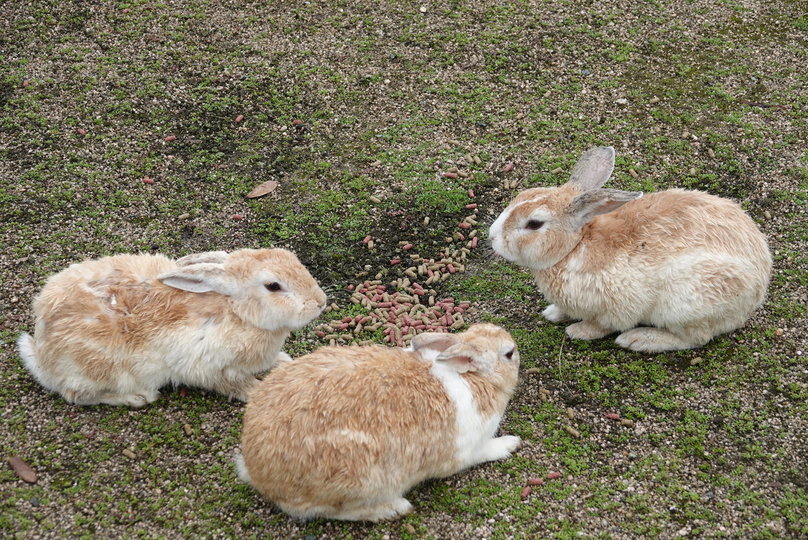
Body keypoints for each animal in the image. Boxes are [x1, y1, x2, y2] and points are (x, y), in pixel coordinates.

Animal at [15, 247, 326, 408]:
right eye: (273, 286)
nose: (321, 302)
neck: (237, 311)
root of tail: (43, 355)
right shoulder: (210, 368)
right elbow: (238, 385)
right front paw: (260, 392)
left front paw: (284, 361)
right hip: (101, 370)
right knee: (77, 396)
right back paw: (138, 397)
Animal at [234, 322, 524, 520]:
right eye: (509, 353)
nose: (515, 344)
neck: (473, 378)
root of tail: (257, 472)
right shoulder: (466, 451)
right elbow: (485, 451)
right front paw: (511, 443)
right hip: (359, 479)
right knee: (333, 511)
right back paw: (395, 508)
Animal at [490, 146, 772, 352]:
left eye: (534, 224)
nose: (492, 236)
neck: (574, 248)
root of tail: (758, 288)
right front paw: (552, 313)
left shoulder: (616, 307)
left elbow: (601, 325)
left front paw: (577, 331)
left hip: (687, 304)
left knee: (695, 338)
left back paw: (638, 339)